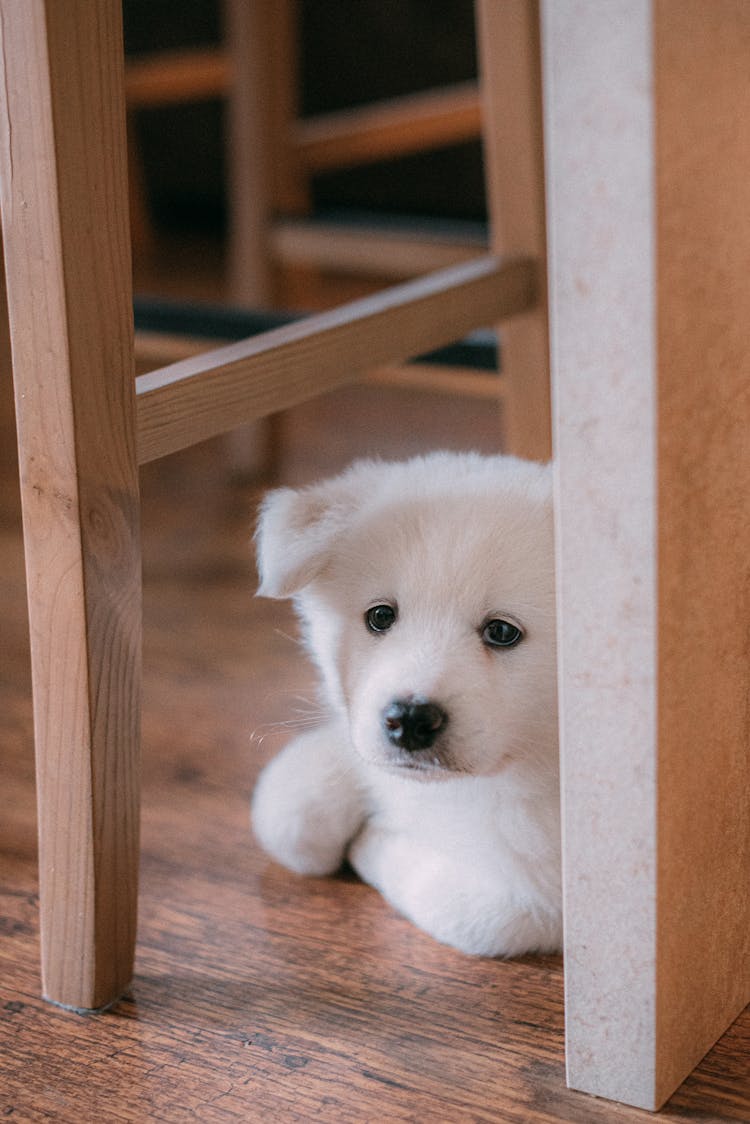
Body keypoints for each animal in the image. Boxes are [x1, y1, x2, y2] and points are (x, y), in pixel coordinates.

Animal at [251, 449, 562, 957]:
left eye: (502, 632)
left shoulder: (547, 895)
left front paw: (371, 842)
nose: (410, 720)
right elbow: (283, 808)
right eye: (380, 617)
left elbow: (469, 911)